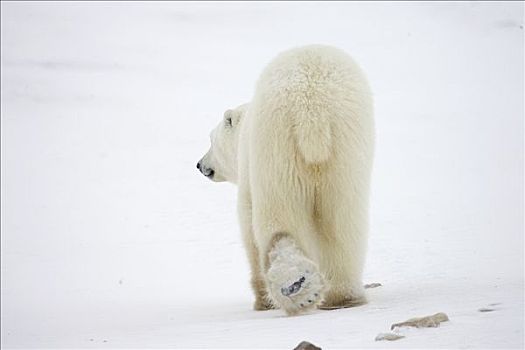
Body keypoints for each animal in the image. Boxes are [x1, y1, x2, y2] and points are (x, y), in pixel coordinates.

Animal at [196, 45, 372, 316]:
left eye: (210, 140)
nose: (200, 165)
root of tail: (311, 107)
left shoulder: (249, 171)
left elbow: (248, 224)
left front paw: (262, 301)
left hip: (277, 148)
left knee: (278, 217)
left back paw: (295, 285)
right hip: (346, 150)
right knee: (342, 222)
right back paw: (343, 296)